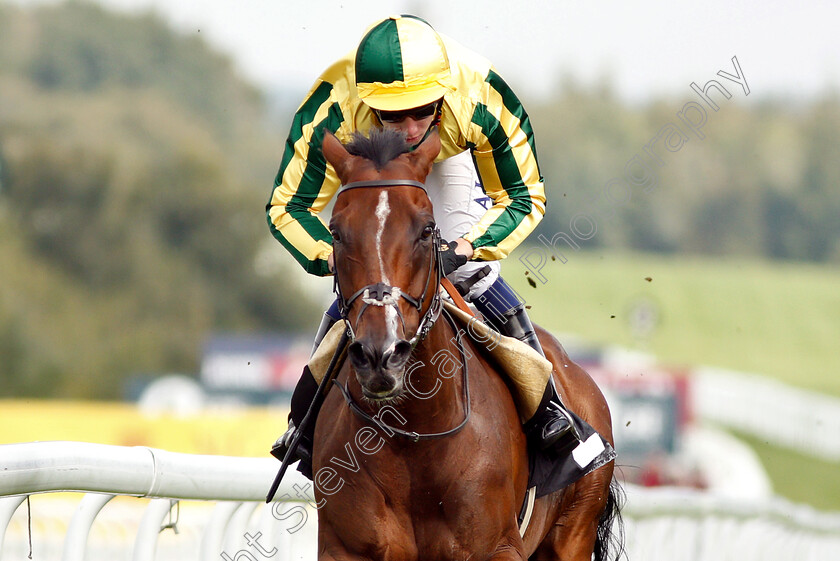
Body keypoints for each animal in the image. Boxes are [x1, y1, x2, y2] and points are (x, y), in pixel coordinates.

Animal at [312, 128, 620, 560]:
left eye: (427, 230)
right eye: (336, 233)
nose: (380, 354)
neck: (415, 437)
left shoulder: (496, 547)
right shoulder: (346, 547)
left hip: (574, 529)